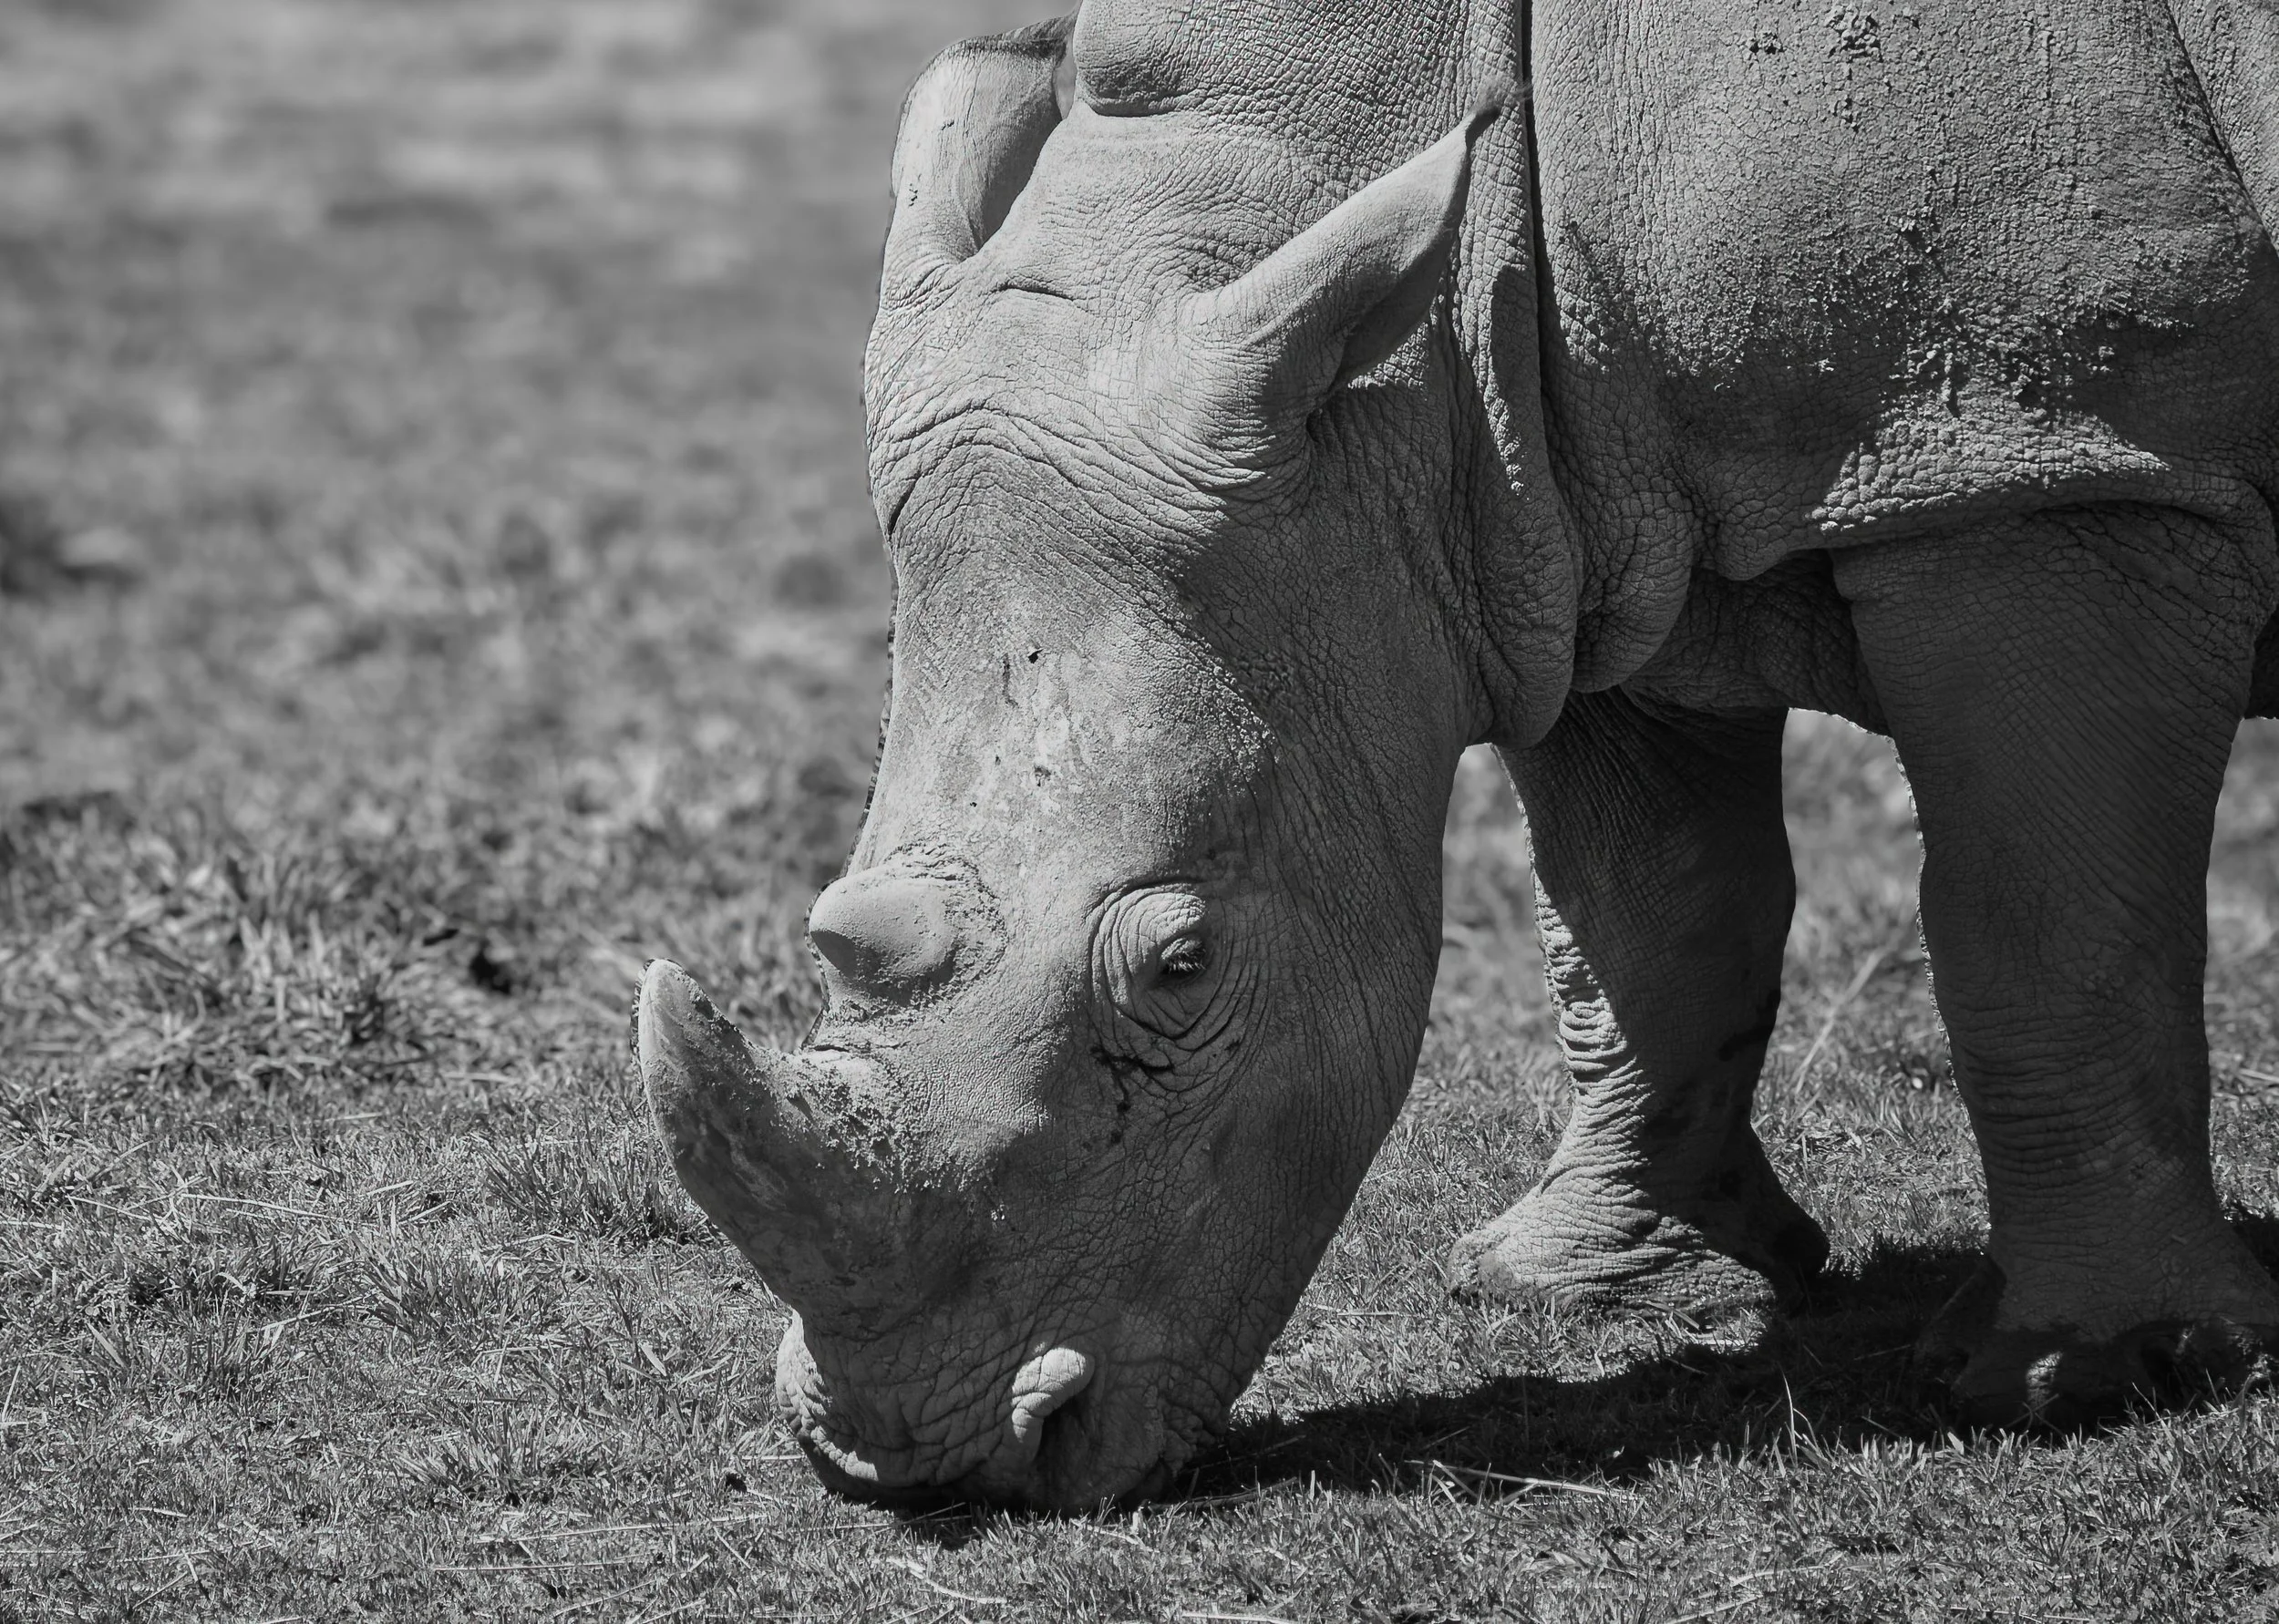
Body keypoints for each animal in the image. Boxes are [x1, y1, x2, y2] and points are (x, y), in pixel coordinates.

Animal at [634, 0, 2279, 1509]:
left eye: (1183, 965)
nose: (909, 1461)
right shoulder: (1577, 519)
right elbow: (1653, 926)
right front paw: (1575, 1287)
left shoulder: (2044, 461)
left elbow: (2039, 928)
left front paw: (2084, 1373)